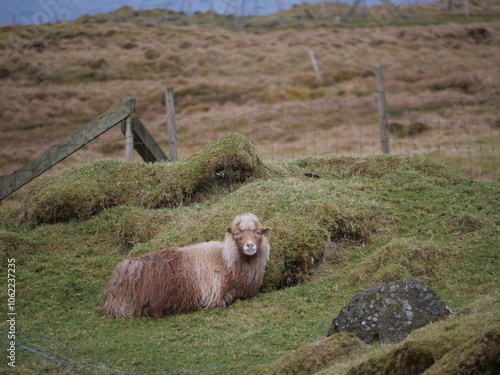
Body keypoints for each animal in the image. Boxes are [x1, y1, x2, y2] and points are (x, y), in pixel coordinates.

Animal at [102, 214, 272, 318]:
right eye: (237, 234)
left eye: (258, 232)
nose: (250, 246)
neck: (225, 261)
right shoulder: (212, 295)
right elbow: (222, 304)